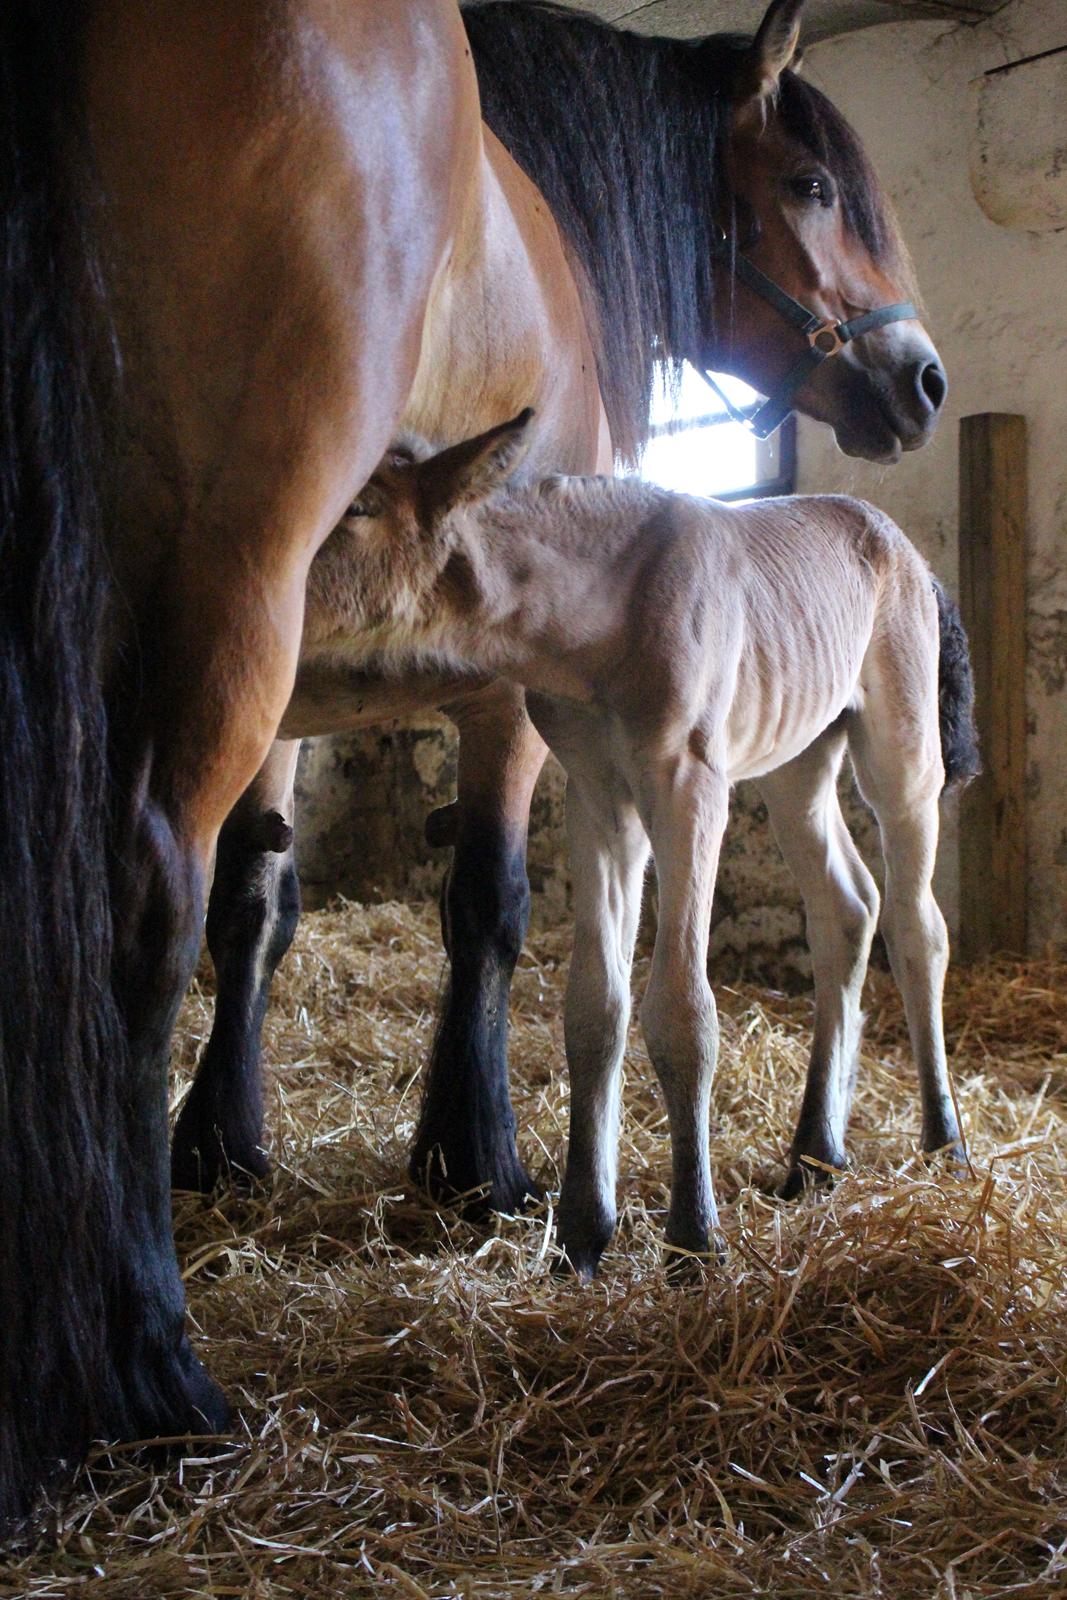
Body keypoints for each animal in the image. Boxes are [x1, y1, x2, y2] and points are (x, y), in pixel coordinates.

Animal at [308, 412, 979, 1273]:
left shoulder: (687, 783)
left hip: (901, 754)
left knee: (914, 926)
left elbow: (682, 1011)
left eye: (360, 510)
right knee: (845, 909)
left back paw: (943, 1141)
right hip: (796, 761)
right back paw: (813, 1157)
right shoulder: (599, 797)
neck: (605, 612)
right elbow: (595, 1008)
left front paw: (692, 1238)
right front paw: (580, 1233)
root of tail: (916, 562)